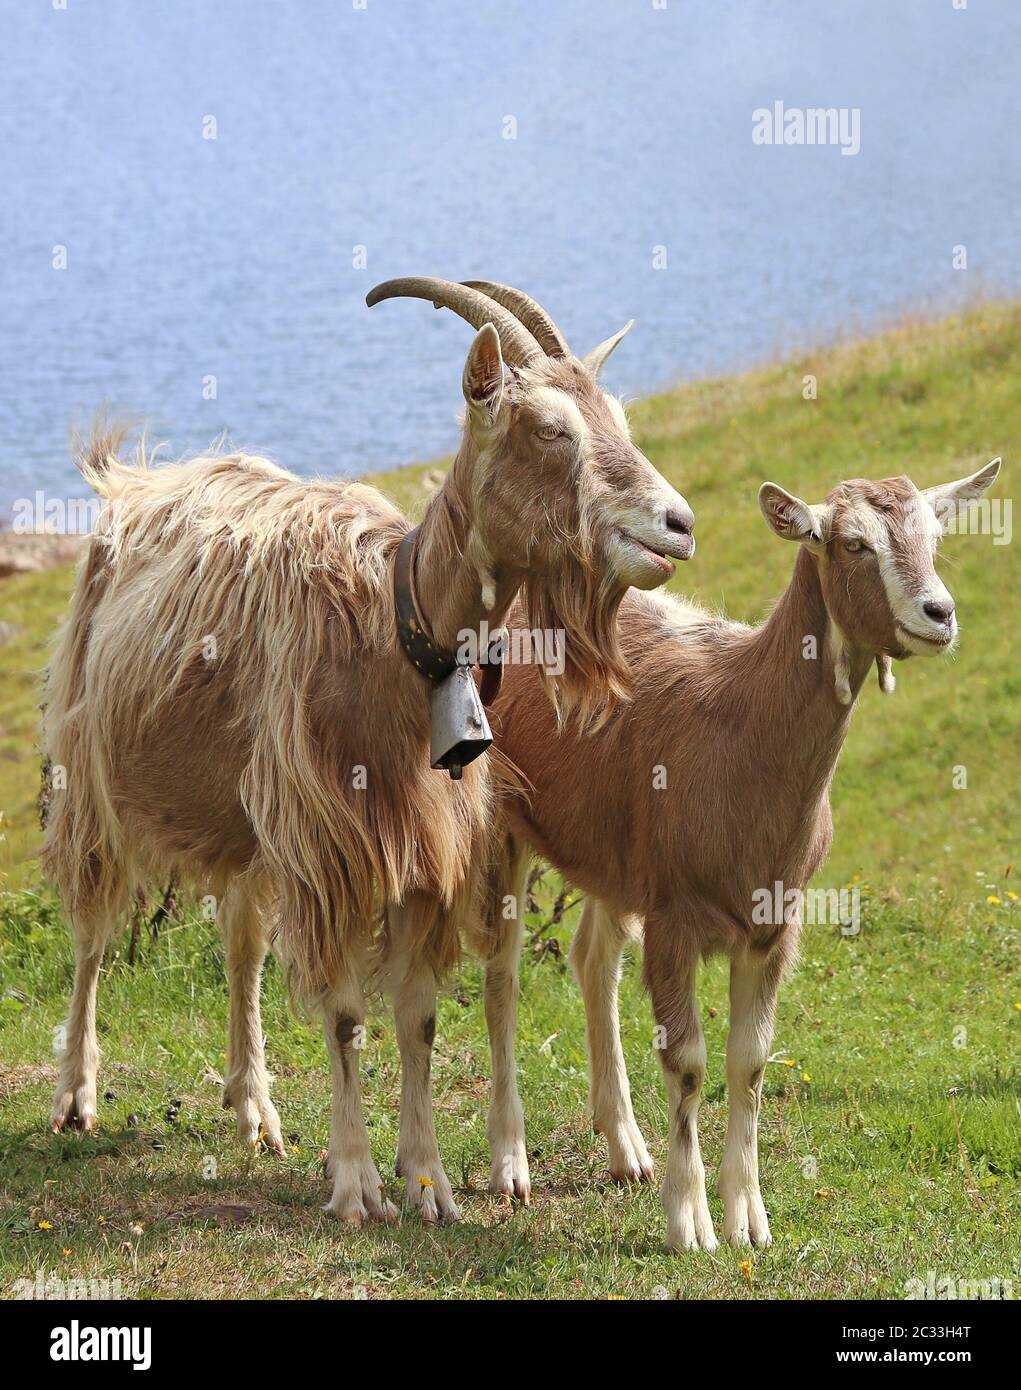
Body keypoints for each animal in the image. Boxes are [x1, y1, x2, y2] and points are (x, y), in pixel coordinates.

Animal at [42, 278, 695, 1225]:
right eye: (547, 429)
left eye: (617, 415)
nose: (676, 525)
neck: (394, 631)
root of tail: (132, 480)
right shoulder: (331, 846)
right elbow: (349, 1016)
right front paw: (356, 1183)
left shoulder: (422, 849)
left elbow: (416, 1016)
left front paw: (428, 1183)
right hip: (89, 769)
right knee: (92, 930)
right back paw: (76, 1098)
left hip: (244, 814)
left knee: (240, 938)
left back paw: (254, 1108)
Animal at [475, 460, 1001, 1247]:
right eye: (852, 543)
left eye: (934, 536)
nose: (939, 613)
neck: (736, 727)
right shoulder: (673, 914)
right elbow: (689, 1062)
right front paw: (690, 1222)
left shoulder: (772, 922)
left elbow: (750, 1061)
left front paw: (749, 1217)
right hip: (502, 818)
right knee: (502, 974)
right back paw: (512, 1164)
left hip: (612, 853)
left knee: (592, 957)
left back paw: (625, 1148)